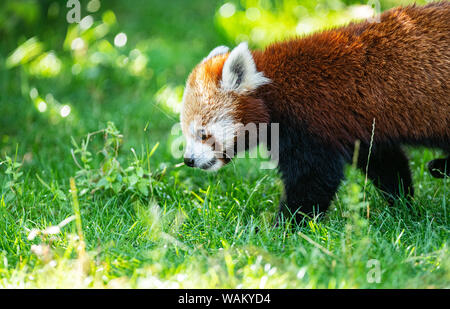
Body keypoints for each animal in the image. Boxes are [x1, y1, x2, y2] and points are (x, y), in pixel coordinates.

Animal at [180, 1, 450, 221]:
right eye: (186, 134)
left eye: (203, 134)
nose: (188, 160)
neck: (274, 91)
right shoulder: (362, 127)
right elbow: (385, 162)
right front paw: (404, 205)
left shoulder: (310, 123)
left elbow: (314, 180)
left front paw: (285, 227)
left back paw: (439, 166)